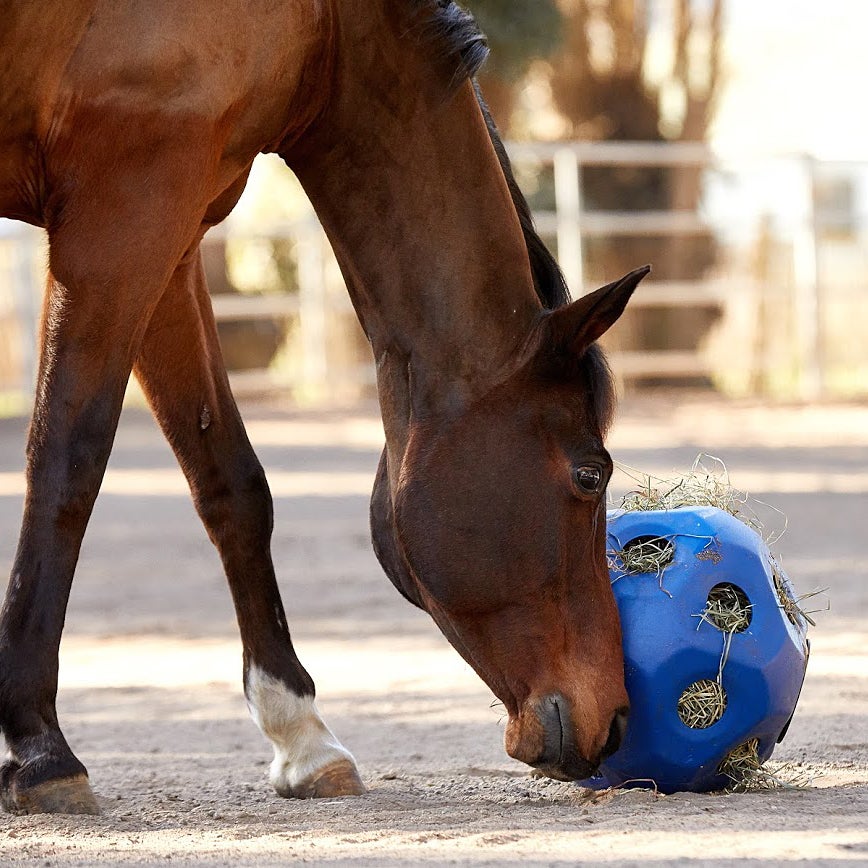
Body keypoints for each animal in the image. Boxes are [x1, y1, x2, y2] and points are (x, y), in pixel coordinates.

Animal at [0, 0, 652, 812]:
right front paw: (41, 749)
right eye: (591, 475)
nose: (618, 721)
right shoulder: (119, 221)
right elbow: (66, 466)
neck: (324, 30)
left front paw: (302, 736)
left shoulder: (168, 237)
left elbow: (232, 486)